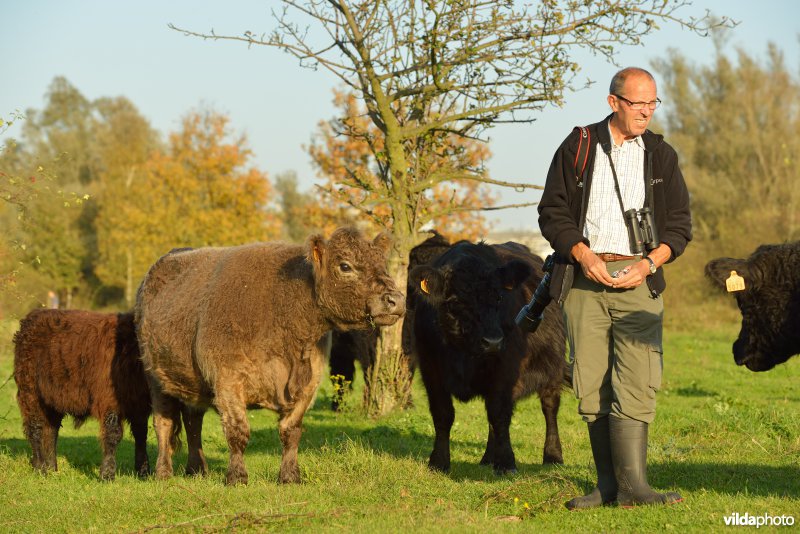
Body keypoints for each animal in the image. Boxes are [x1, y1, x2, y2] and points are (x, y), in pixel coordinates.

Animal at [12, 310, 153, 482]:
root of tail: (33, 316)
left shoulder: (140, 406)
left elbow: (141, 435)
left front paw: (143, 472)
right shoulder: (110, 401)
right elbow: (113, 434)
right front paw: (107, 475)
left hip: (52, 399)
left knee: (51, 430)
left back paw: (52, 468)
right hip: (30, 393)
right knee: (35, 428)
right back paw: (40, 468)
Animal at [135, 226, 406, 486]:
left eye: (382, 263)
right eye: (345, 265)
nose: (396, 299)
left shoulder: (308, 385)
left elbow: (291, 431)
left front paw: (289, 476)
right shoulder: (227, 380)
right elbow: (237, 431)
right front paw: (237, 477)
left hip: (193, 383)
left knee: (193, 422)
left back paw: (197, 469)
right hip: (155, 378)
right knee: (164, 423)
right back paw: (163, 472)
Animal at [410, 239, 564, 478]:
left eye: (499, 297)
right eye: (455, 301)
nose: (492, 341)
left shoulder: (506, 366)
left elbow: (499, 413)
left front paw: (507, 463)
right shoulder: (430, 367)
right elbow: (443, 414)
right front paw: (438, 461)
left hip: (553, 369)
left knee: (549, 407)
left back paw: (553, 456)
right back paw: (489, 458)